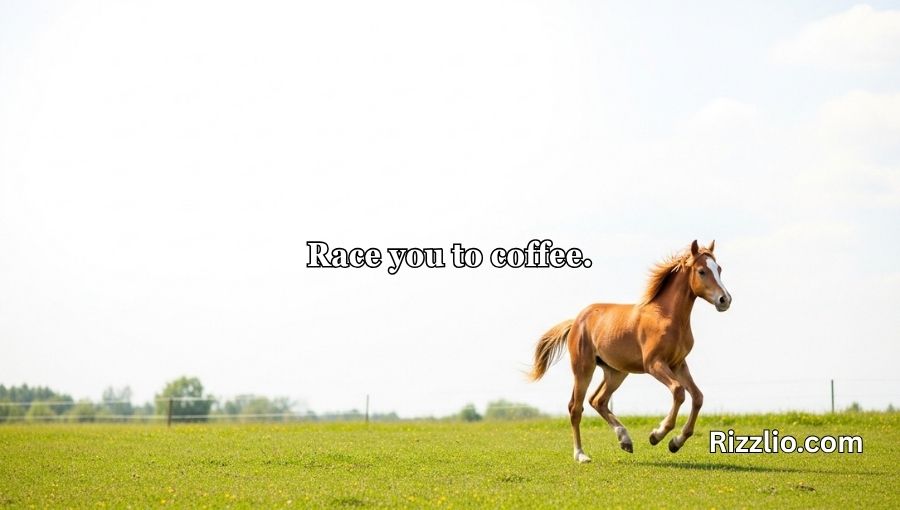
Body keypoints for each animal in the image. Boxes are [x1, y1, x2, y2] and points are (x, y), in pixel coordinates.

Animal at [529, 240, 731, 463]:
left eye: (719, 269)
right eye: (702, 271)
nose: (725, 300)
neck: (666, 316)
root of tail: (576, 321)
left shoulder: (678, 364)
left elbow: (697, 397)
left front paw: (675, 442)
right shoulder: (654, 364)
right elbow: (679, 392)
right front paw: (657, 435)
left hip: (616, 372)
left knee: (598, 400)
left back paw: (625, 440)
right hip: (583, 368)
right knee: (575, 407)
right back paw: (581, 455)